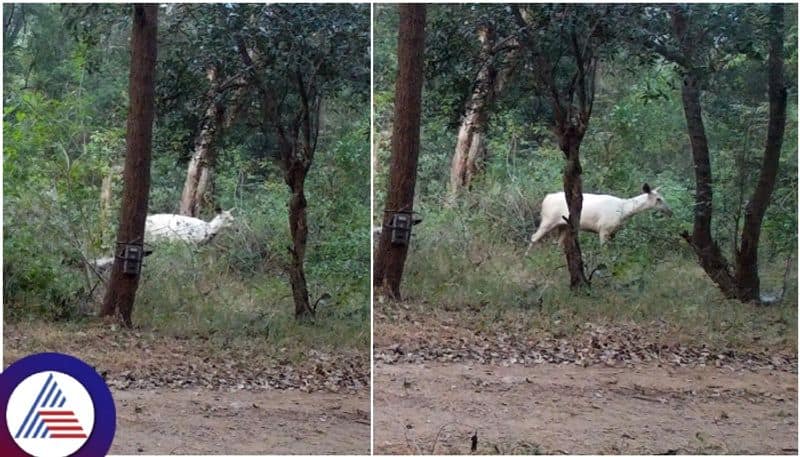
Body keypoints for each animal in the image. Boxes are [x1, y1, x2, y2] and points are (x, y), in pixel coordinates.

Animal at [528, 182, 672, 253]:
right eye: (658, 199)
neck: (624, 210)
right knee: (534, 237)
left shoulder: (613, 232)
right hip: (548, 220)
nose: (670, 211)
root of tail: (545, 199)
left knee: (558, 243)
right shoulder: (604, 228)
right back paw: (527, 257)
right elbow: (604, 250)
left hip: (564, 225)